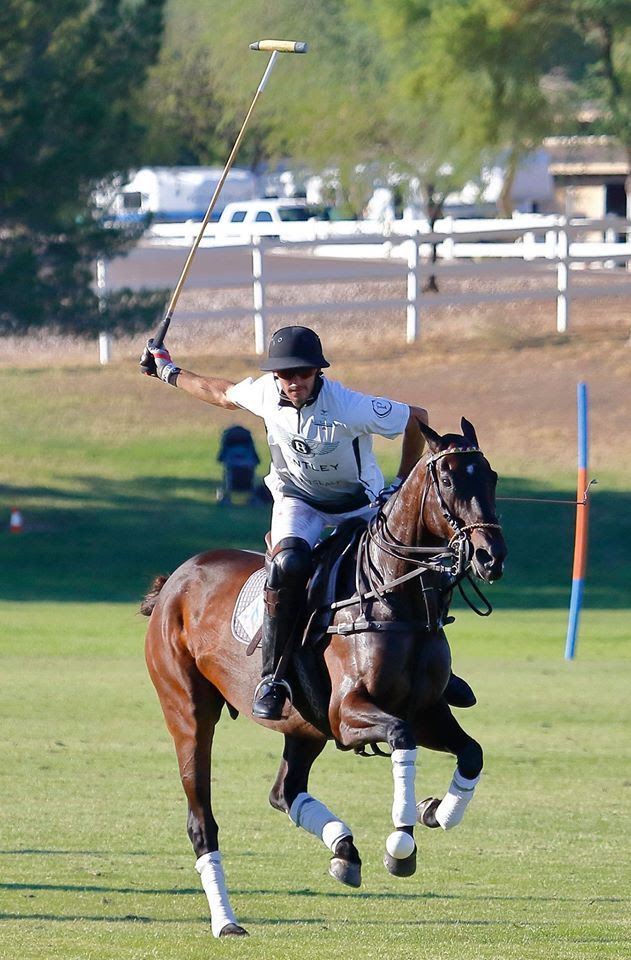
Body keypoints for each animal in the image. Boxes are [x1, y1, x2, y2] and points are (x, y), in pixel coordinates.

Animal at [141, 417, 507, 937]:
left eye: (491, 477)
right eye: (451, 481)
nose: (490, 556)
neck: (394, 599)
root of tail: (174, 579)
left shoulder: (428, 711)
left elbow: (471, 752)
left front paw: (435, 811)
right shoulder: (348, 714)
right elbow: (402, 737)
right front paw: (401, 842)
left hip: (304, 727)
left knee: (284, 792)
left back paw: (343, 849)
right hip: (189, 714)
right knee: (202, 821)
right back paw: (226, 921)